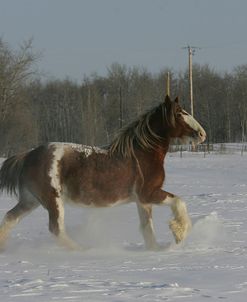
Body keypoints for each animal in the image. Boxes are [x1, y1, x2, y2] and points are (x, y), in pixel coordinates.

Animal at [0, 96, 206, 250]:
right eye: (179, 113)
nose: (202, 134)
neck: (142, 153)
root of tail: (28, 155)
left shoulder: (142, 200)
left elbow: (148, 229)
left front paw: (156, 249)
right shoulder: (149, 193)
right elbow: (179, 202)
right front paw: (179, 233)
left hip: (30, 200)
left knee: (10, 217)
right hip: (53, 200)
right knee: (56, 229)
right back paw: (84, 250)